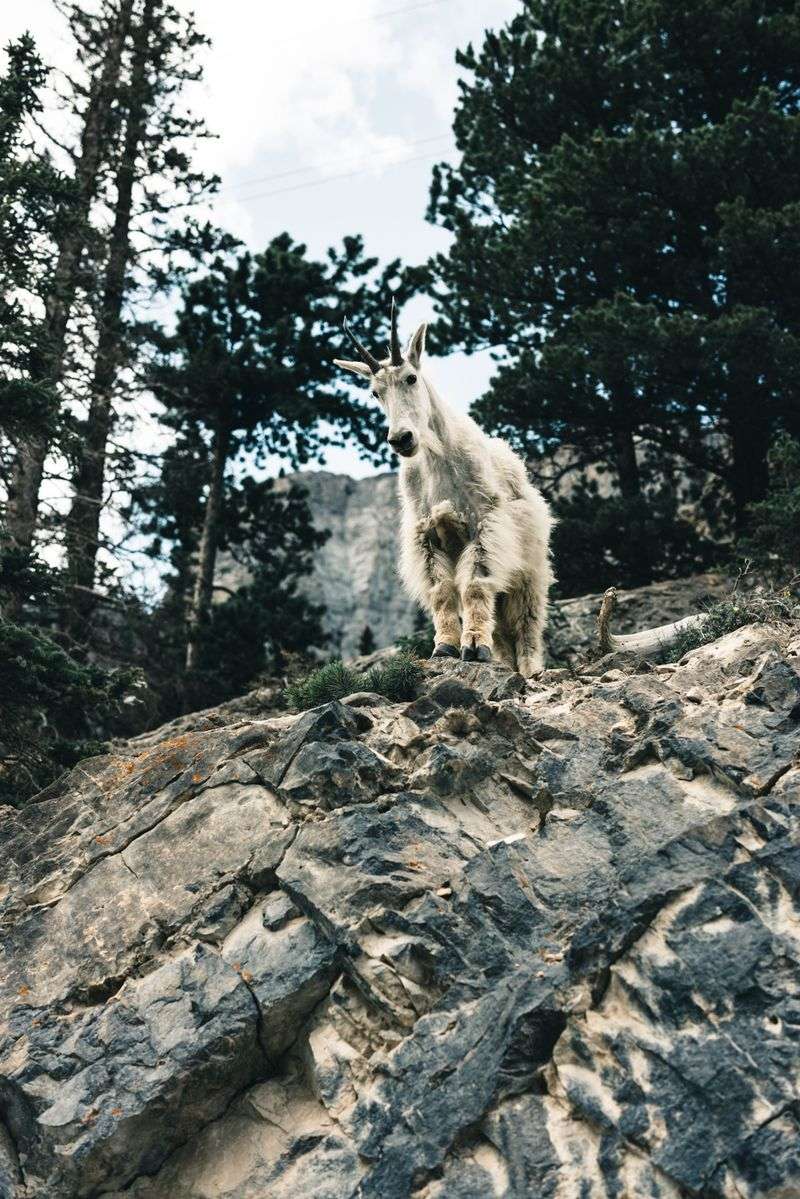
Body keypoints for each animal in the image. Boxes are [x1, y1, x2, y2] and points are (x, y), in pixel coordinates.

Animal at [334, 302, 554, 677]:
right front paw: (445, 646)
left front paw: (475, 646)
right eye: (375, 392)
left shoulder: (485, 527)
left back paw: (528, 667)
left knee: (526, 618)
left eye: (411, 377)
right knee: (503, 625)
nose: (401, 439)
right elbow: (441, 591)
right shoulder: (427, 536)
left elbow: (474, 585)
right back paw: (503, 661)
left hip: (529, 565)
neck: (436, 459)